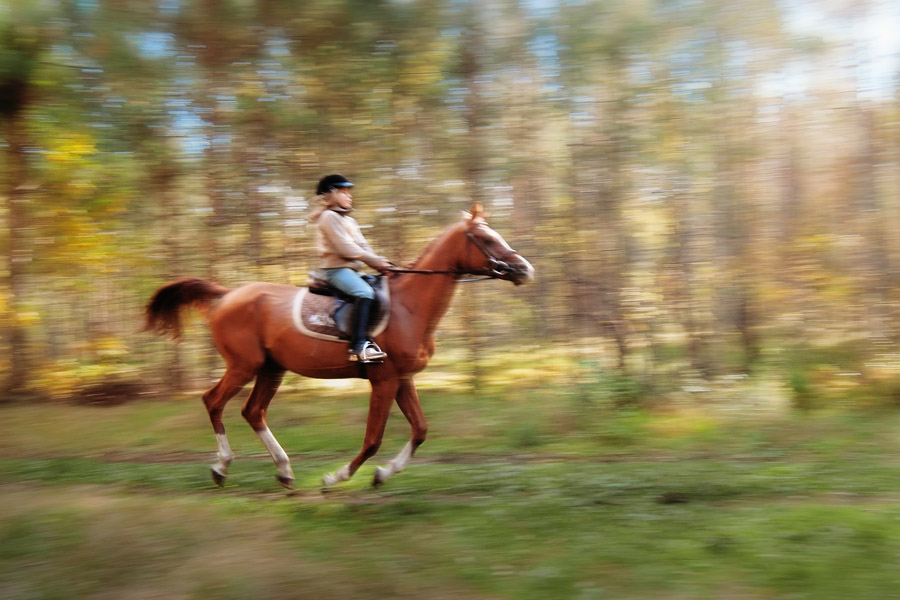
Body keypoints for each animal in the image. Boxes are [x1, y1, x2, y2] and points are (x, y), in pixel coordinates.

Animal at [143, 202, 532, 488]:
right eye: (486, 238)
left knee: (254, 412)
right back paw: (222, 467)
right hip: (243, 366)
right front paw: (335, 477)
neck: (409, 306)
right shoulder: (384, 381)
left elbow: (420, 430)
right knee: (214, 402)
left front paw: (382, 474)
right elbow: (373, 439)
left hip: (271, 369)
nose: (525, 269)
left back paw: (284, 471)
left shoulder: (402, 379)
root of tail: (226, 296)